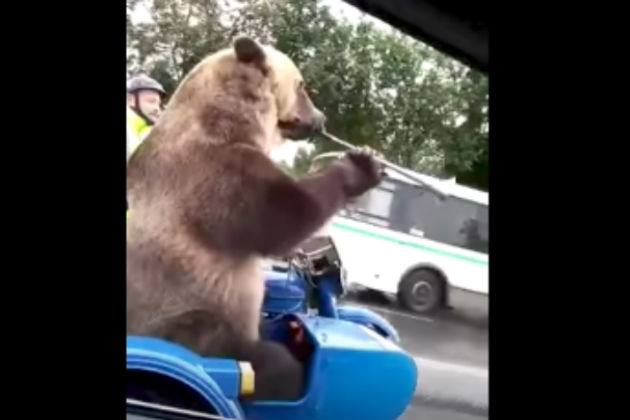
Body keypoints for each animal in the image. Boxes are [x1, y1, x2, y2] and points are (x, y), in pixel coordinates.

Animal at [126, 37, 382, 400]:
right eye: (302, 85)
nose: (320, 116)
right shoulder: (213, 176)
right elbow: (281, 214)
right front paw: (360, 167)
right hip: (181, 321)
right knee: (257, 359)